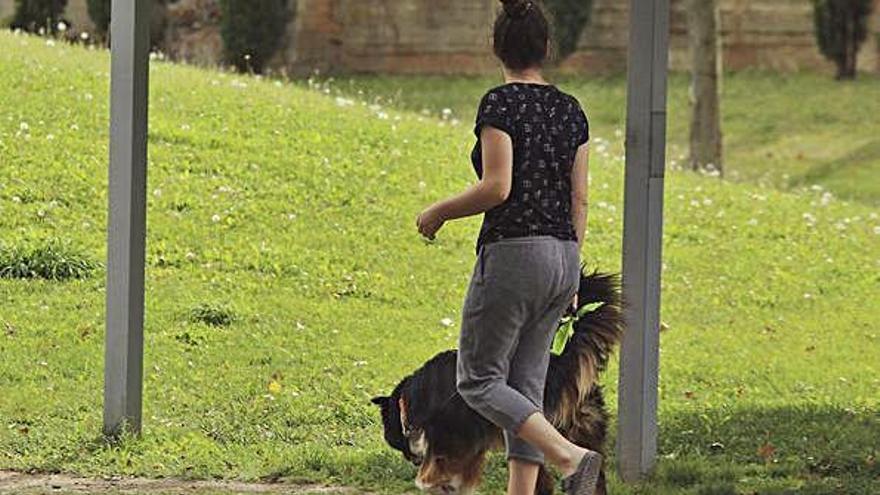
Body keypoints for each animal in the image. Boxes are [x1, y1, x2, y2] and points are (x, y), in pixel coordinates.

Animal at [372, 270, 624, 495]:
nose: (410, 459)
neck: (412, 399)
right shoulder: (471, 444)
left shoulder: (454, 435)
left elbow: (439, 463)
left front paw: (428, 481)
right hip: (577, 427)